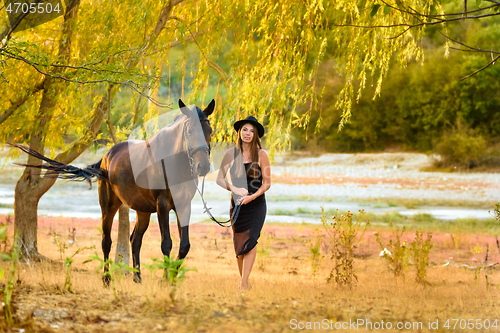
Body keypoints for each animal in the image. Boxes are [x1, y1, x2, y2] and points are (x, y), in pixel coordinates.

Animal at [11, 97, 214, 282]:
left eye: (210, 131)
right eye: (190, 131)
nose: (203, 167)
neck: (171, 163)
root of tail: (106, 157)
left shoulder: (183, 205)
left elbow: (184, 245)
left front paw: (172, 279)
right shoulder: (162, 205)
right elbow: (166, 243)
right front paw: (165, 280)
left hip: (142, 211)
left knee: (135, 240)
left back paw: (137, 278)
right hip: (108, 206)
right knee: (106, 241)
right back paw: (107, 279)